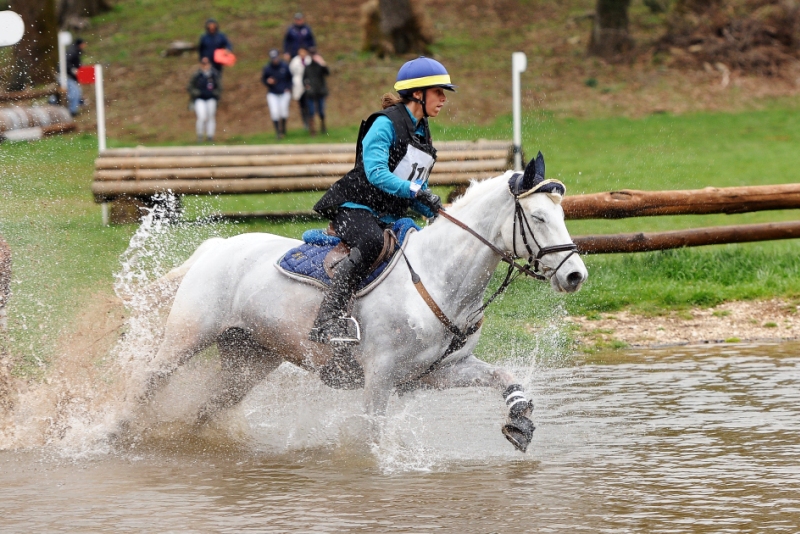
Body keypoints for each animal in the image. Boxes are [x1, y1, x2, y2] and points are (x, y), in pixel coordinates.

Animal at [139, 157, 588, 454]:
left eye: (562, 215)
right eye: (538, 217)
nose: (575, 275)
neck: (438, 276)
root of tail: (214, 247)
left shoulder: (436, 373)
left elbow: (503, 377)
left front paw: (519, 421)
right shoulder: (380, 375)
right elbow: (371, 434)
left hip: (250, 356)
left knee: (209, 408)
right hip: (186, 338)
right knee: (148, 383)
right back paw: (123, 432)